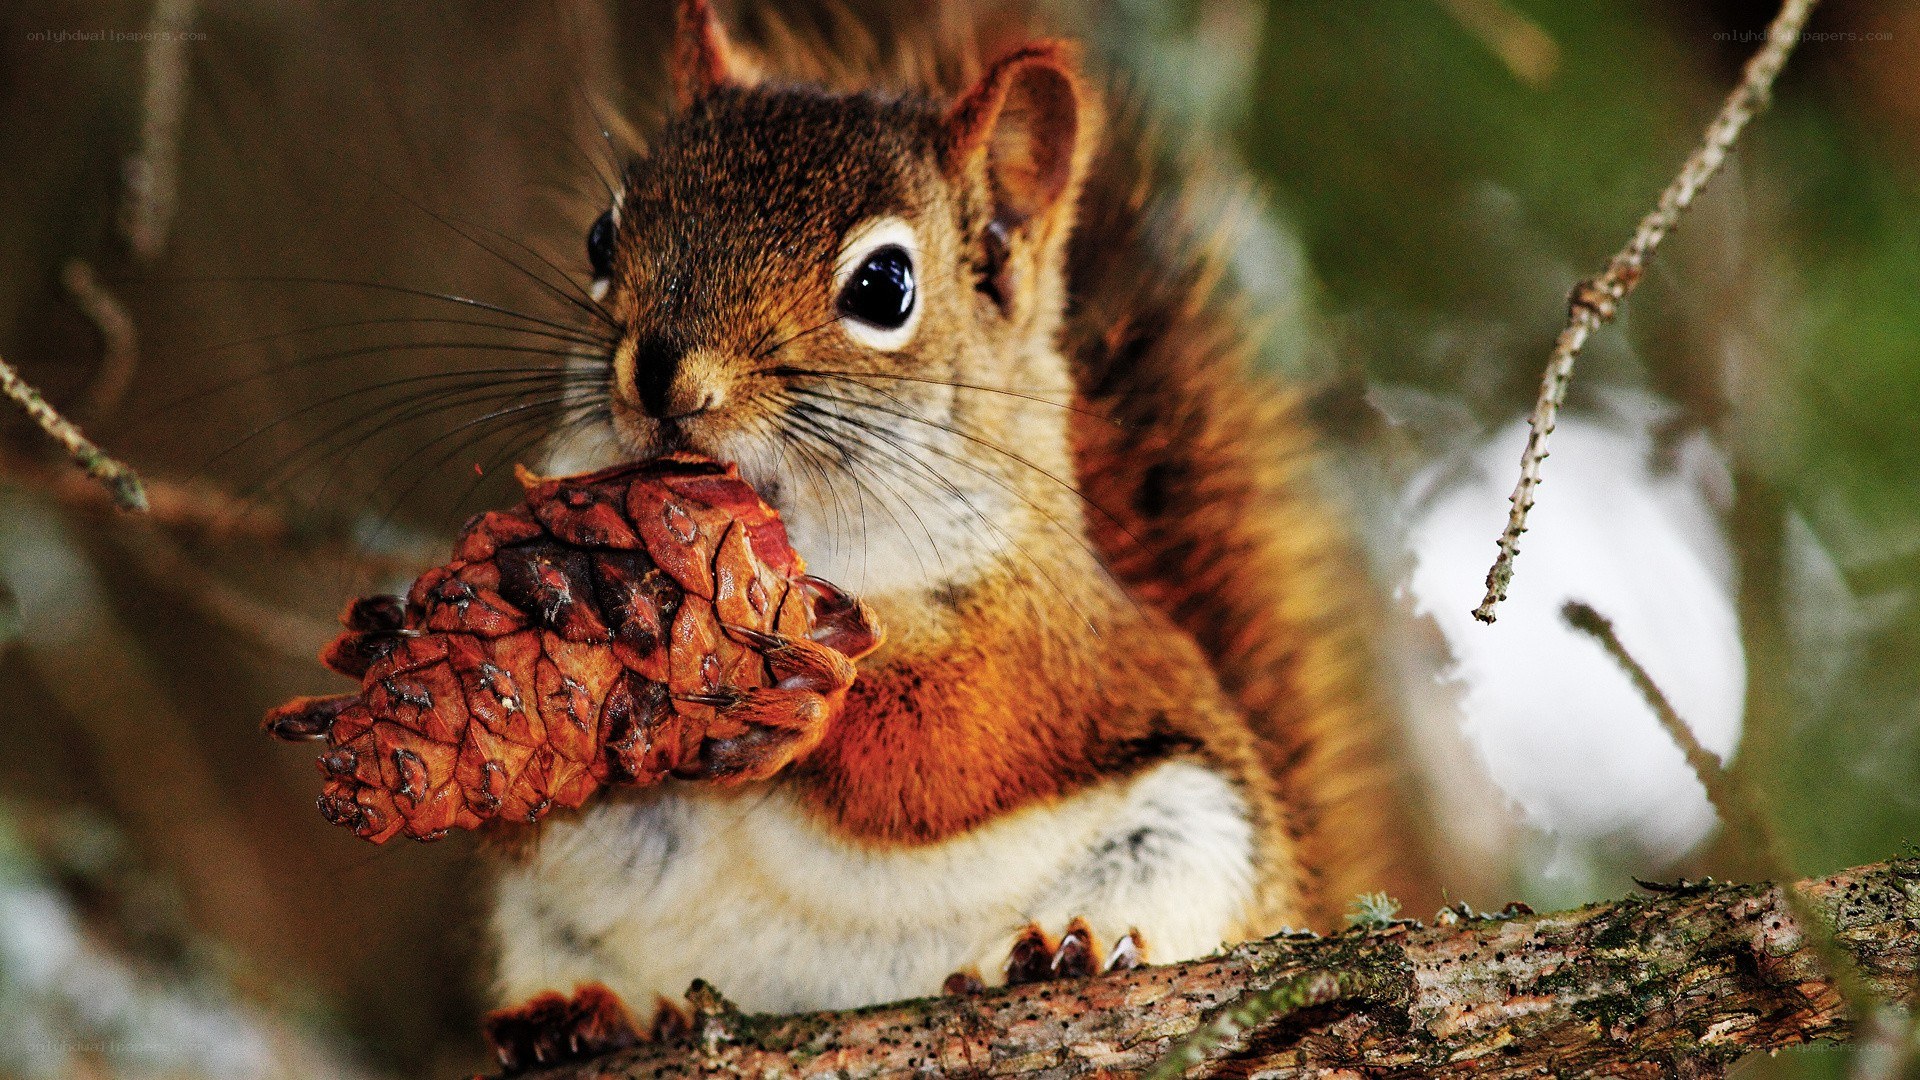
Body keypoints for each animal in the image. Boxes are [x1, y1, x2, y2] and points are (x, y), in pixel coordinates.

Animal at [483, 0, 1434, 1061]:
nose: (659, 376)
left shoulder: (1042, 648)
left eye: (884, 286)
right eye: (601, 237)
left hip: (1196, 840)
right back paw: (582, 1016)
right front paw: (563, 611)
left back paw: (1069, 950)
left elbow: (948, 746)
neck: (810, 549)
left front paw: (812, 697)